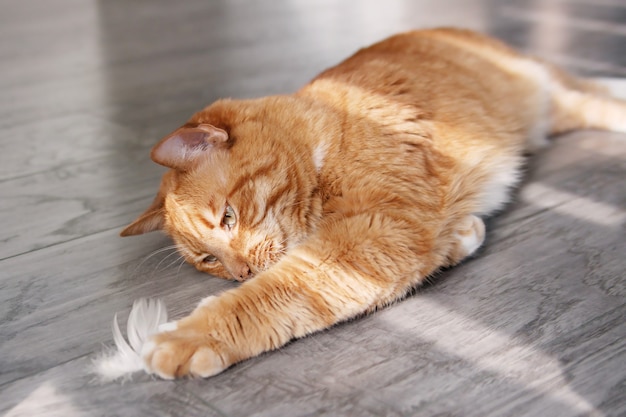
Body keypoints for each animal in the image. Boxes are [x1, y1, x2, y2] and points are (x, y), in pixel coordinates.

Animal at [120, 29, 624, 378]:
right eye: (209, 259)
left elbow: (280, 291)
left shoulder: (379, 228)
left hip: (545, 89)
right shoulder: (400, 232)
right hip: (554, 111)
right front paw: (462, 237)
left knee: (592, 92)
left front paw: (191, 336)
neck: (320, 138)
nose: (240, 272)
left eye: (228, 217)